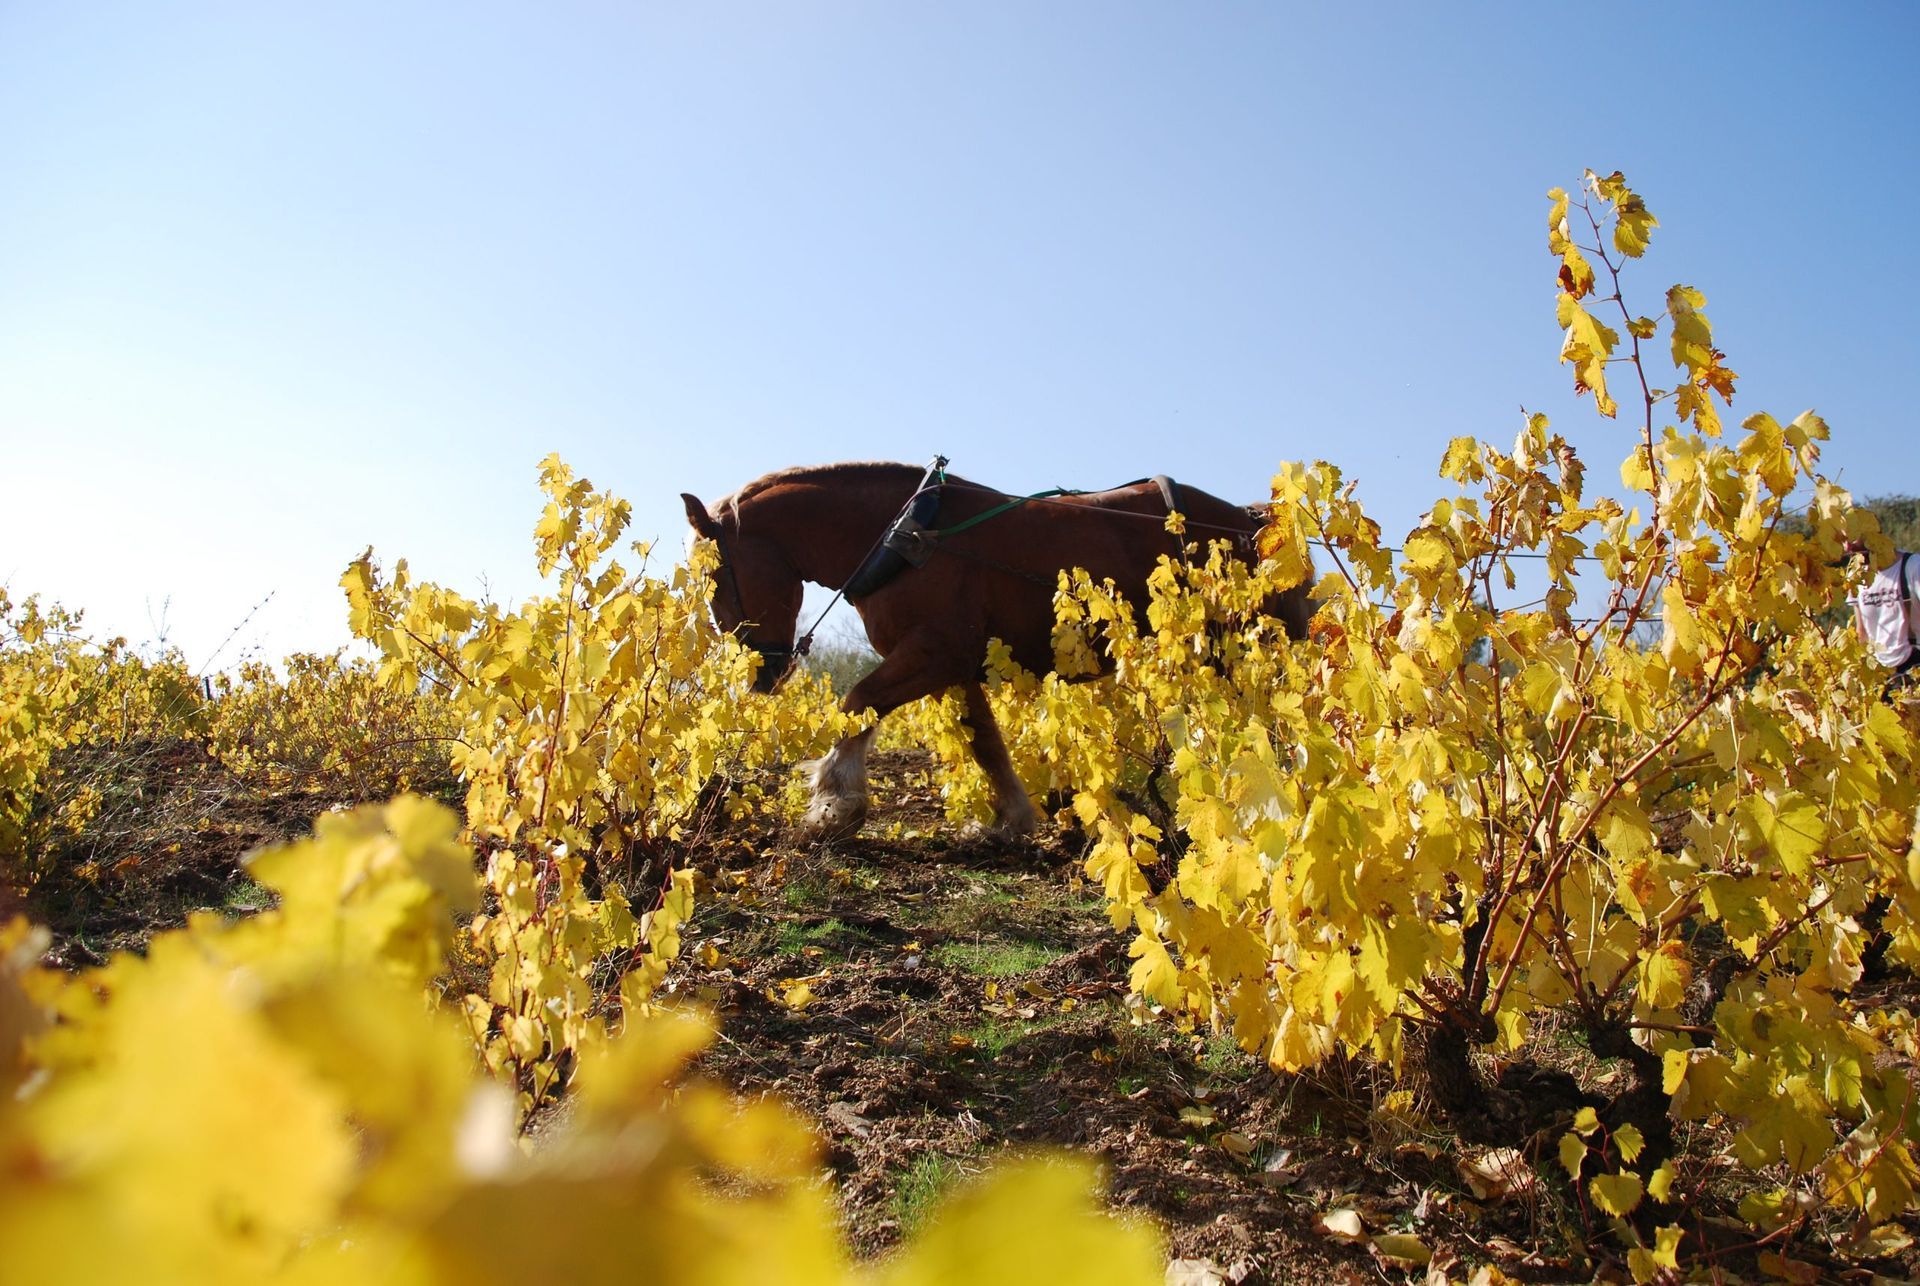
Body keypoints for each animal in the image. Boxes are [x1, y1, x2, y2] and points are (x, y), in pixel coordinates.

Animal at [680, 461, 1311, 840]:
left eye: (714, 578)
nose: (763, 675)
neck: (909, 538)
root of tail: (1251, 522)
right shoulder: (957, 666)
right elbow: (984, 741)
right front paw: (1011, 817)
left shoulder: (931, 654)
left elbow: (857, 703)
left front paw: (835, 803)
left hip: (1242, 649)